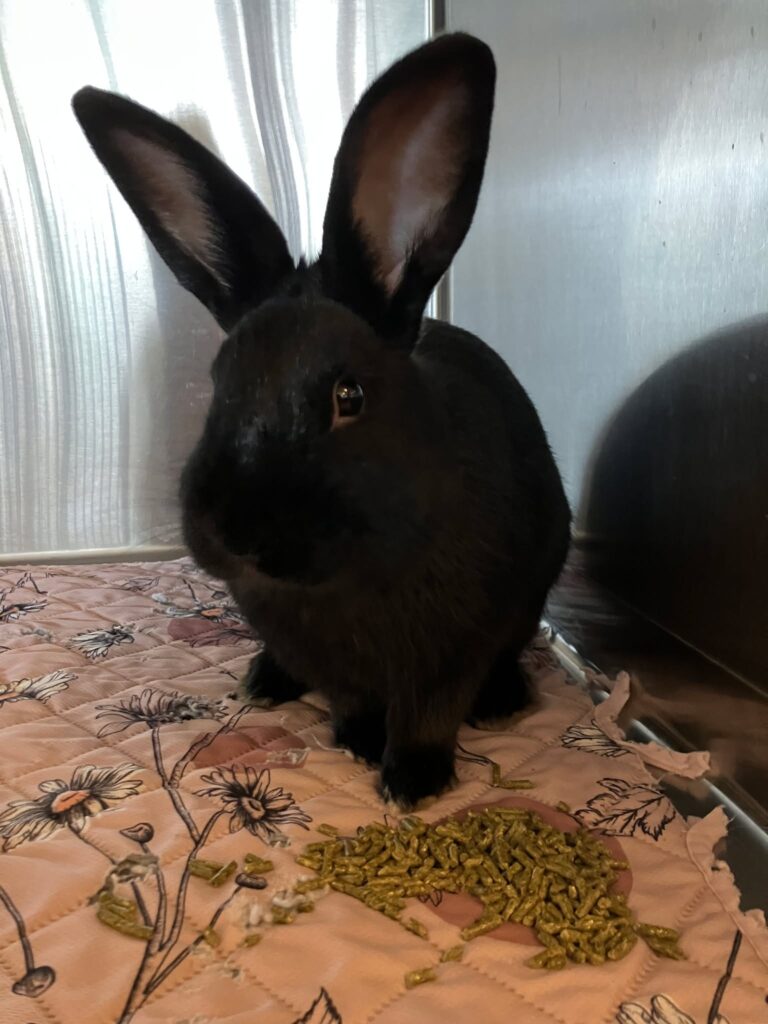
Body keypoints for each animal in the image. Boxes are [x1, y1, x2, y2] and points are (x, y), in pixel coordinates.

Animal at [72, 32, 571, 810]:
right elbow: (352, 699)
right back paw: (265, 682)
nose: (237, 531)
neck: (349, 579)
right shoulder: (328, 658)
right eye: (217, 384)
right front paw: (362, 743)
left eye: (349, 396)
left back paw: (503, 700)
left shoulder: (454, 649)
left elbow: (430, 712)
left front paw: (413, 781)